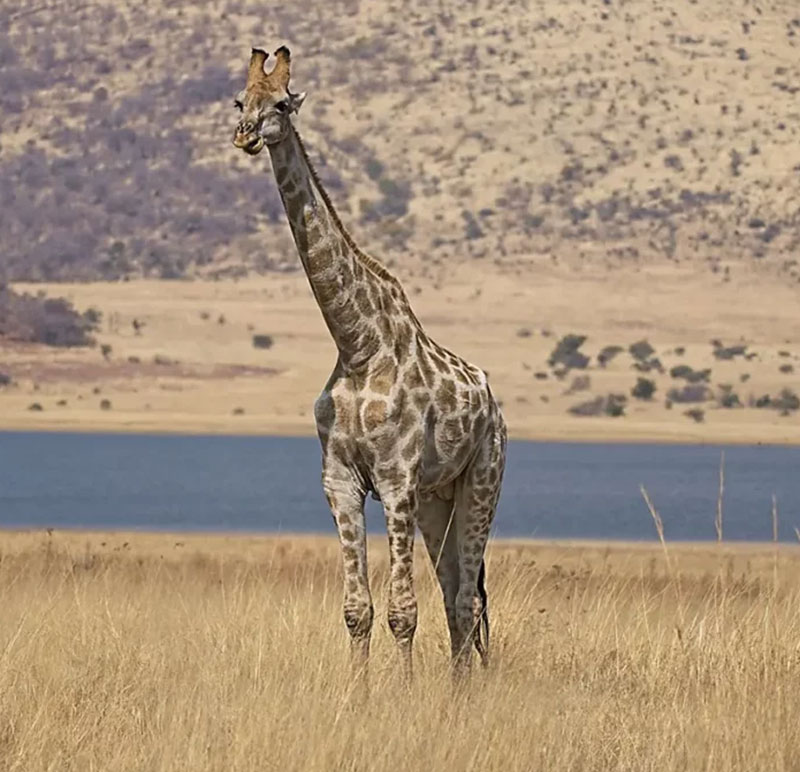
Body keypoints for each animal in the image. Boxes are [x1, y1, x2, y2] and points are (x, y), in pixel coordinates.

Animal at [231, 46, 507, 677]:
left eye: (282, 104)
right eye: (240, 100)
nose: (245, 135)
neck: (358, 346)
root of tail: (494, 407)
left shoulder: (397, 479)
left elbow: (402, 611)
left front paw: (401, 692)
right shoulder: (340, 481)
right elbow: (357, 609)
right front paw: (356, 693)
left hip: (482, 479)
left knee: (464, 597)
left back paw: (463, 693)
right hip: (436, 500)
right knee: (456, 595)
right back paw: (457, 690)